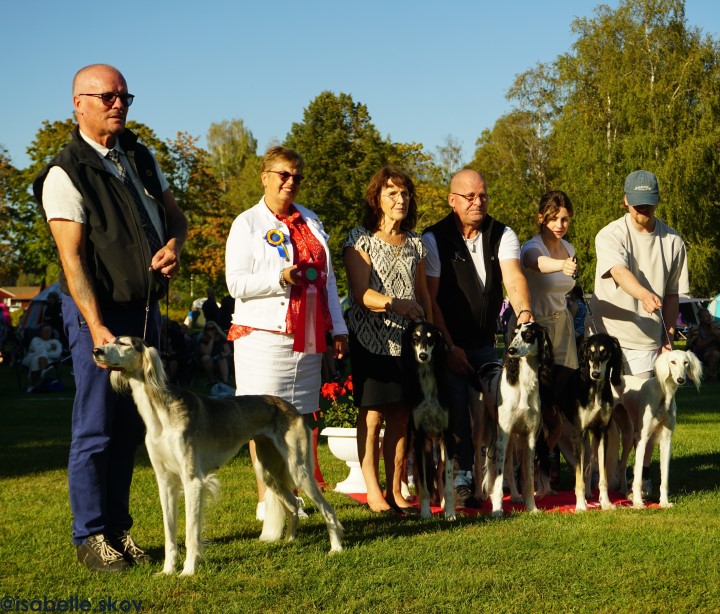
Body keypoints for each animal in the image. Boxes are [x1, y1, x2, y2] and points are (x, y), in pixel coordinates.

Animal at [92, 336, 344, 576]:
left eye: (124, 344)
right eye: (111, 340)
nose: (96, 351)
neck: (161, 413)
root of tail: (292, 407)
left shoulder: (192, 481)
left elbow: (191, 532)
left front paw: (188, 571)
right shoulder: (165, 483)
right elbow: (169, 534)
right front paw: (167, 571)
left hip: (298, 468)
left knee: (327, 509)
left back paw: (336, 548)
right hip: (267, 470)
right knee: (292, 505)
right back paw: (291, 540)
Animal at [400, 322, 456, 520]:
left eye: (431, 339)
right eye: (415, 338)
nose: (423, 356)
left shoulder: (447, 436)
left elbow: (447, 481)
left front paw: (450, 512)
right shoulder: (419, 438)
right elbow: (423, 484)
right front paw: (425, 512)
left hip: (438, 443)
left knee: (439, 473)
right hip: (409, 440)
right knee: (401, 466)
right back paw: (405, 493)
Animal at [480, 322, 556, 520]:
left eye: (528, 334)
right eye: (514, 334)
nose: (511, 350)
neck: (523, 385)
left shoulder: (529, 437)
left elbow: (527, 477)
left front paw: (532, 507)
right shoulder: (503, 435)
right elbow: (498, 478)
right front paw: (497, 509)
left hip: (512, 438)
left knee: (508, 466)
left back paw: (514, 495)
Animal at [556, 334, 624, 512]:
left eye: (604, 351)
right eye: (589, 352)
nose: (595, 373)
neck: (595, 389)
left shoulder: (601, 433)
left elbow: (603, 475)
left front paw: (606, 503)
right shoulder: (578, 434)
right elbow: (579, 476)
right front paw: (580, 505)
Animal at [632, 352, 704, 510]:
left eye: (686, 362)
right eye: (672, 362)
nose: (681, 379)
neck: (664, 394)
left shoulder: (666, 440)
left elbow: (664, 477)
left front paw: (664, 502)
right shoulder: (642, 439)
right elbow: (637, 475)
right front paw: (638, 503)